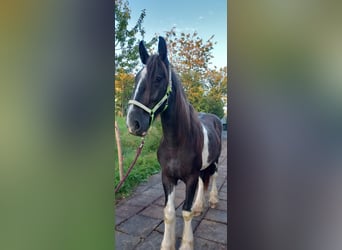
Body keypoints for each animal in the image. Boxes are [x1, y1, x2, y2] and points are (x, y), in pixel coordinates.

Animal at [125, 36, 222, 249]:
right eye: (136, 79)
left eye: (158, 78)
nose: (133, 123)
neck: (176, 143)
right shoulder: (167, 177)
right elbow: (169, 212)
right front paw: (167, 244)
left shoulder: (190, 178)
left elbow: (185, 212)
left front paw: (186, 243)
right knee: (204, 179)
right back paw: (199, 206)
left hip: (215, 160)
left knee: (213, 177)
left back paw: (212, 200)